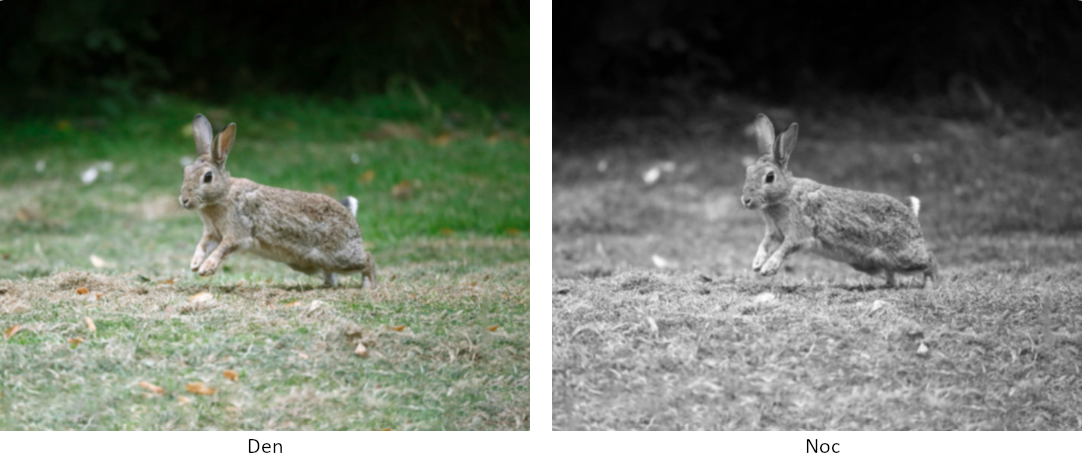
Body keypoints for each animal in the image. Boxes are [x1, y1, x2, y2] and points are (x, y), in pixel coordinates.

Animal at [179, 114, 378, 287]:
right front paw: (194, 264)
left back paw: (368, 286)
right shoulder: (213, 233)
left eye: (208, 177)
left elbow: (222, 249)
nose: (184, 200)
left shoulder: (236, 233)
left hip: (339, 256)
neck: (223, 194)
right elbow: (202, 245)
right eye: (186, 171)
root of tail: (351, 217)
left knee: (367, 258)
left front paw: (206, 269)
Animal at [740, 113, 934, 285]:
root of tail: (912, 215)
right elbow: (764, 246)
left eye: (770, 177)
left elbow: (783, 249)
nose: (746, 200)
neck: (785, 193)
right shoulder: (774, 232)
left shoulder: (798, 233)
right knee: (893, 275)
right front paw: (756, 264)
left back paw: (929, 284)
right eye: (748, 171)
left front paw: (768, 269)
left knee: (929, 259)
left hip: (903, 257)